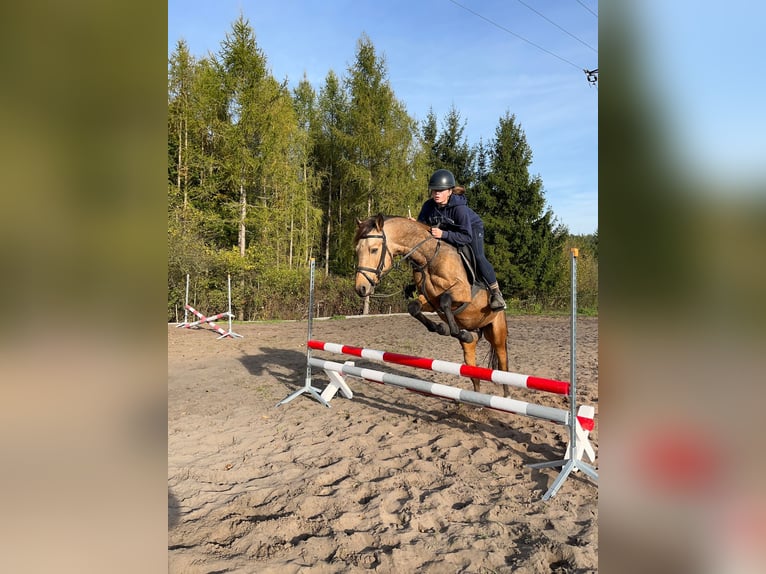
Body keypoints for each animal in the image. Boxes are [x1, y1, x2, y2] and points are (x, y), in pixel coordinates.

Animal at [354, 214, 510, 398]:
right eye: (357, 251)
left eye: (374, 250)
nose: (361, 288)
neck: (429, 258)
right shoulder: (430, 301)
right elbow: (414, 307)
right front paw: (441, 328)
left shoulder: (462, 292)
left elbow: (445, 301)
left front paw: (450, 329)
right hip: (471, 344)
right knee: (473, 370)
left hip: (497, 334)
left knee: (503, 365)